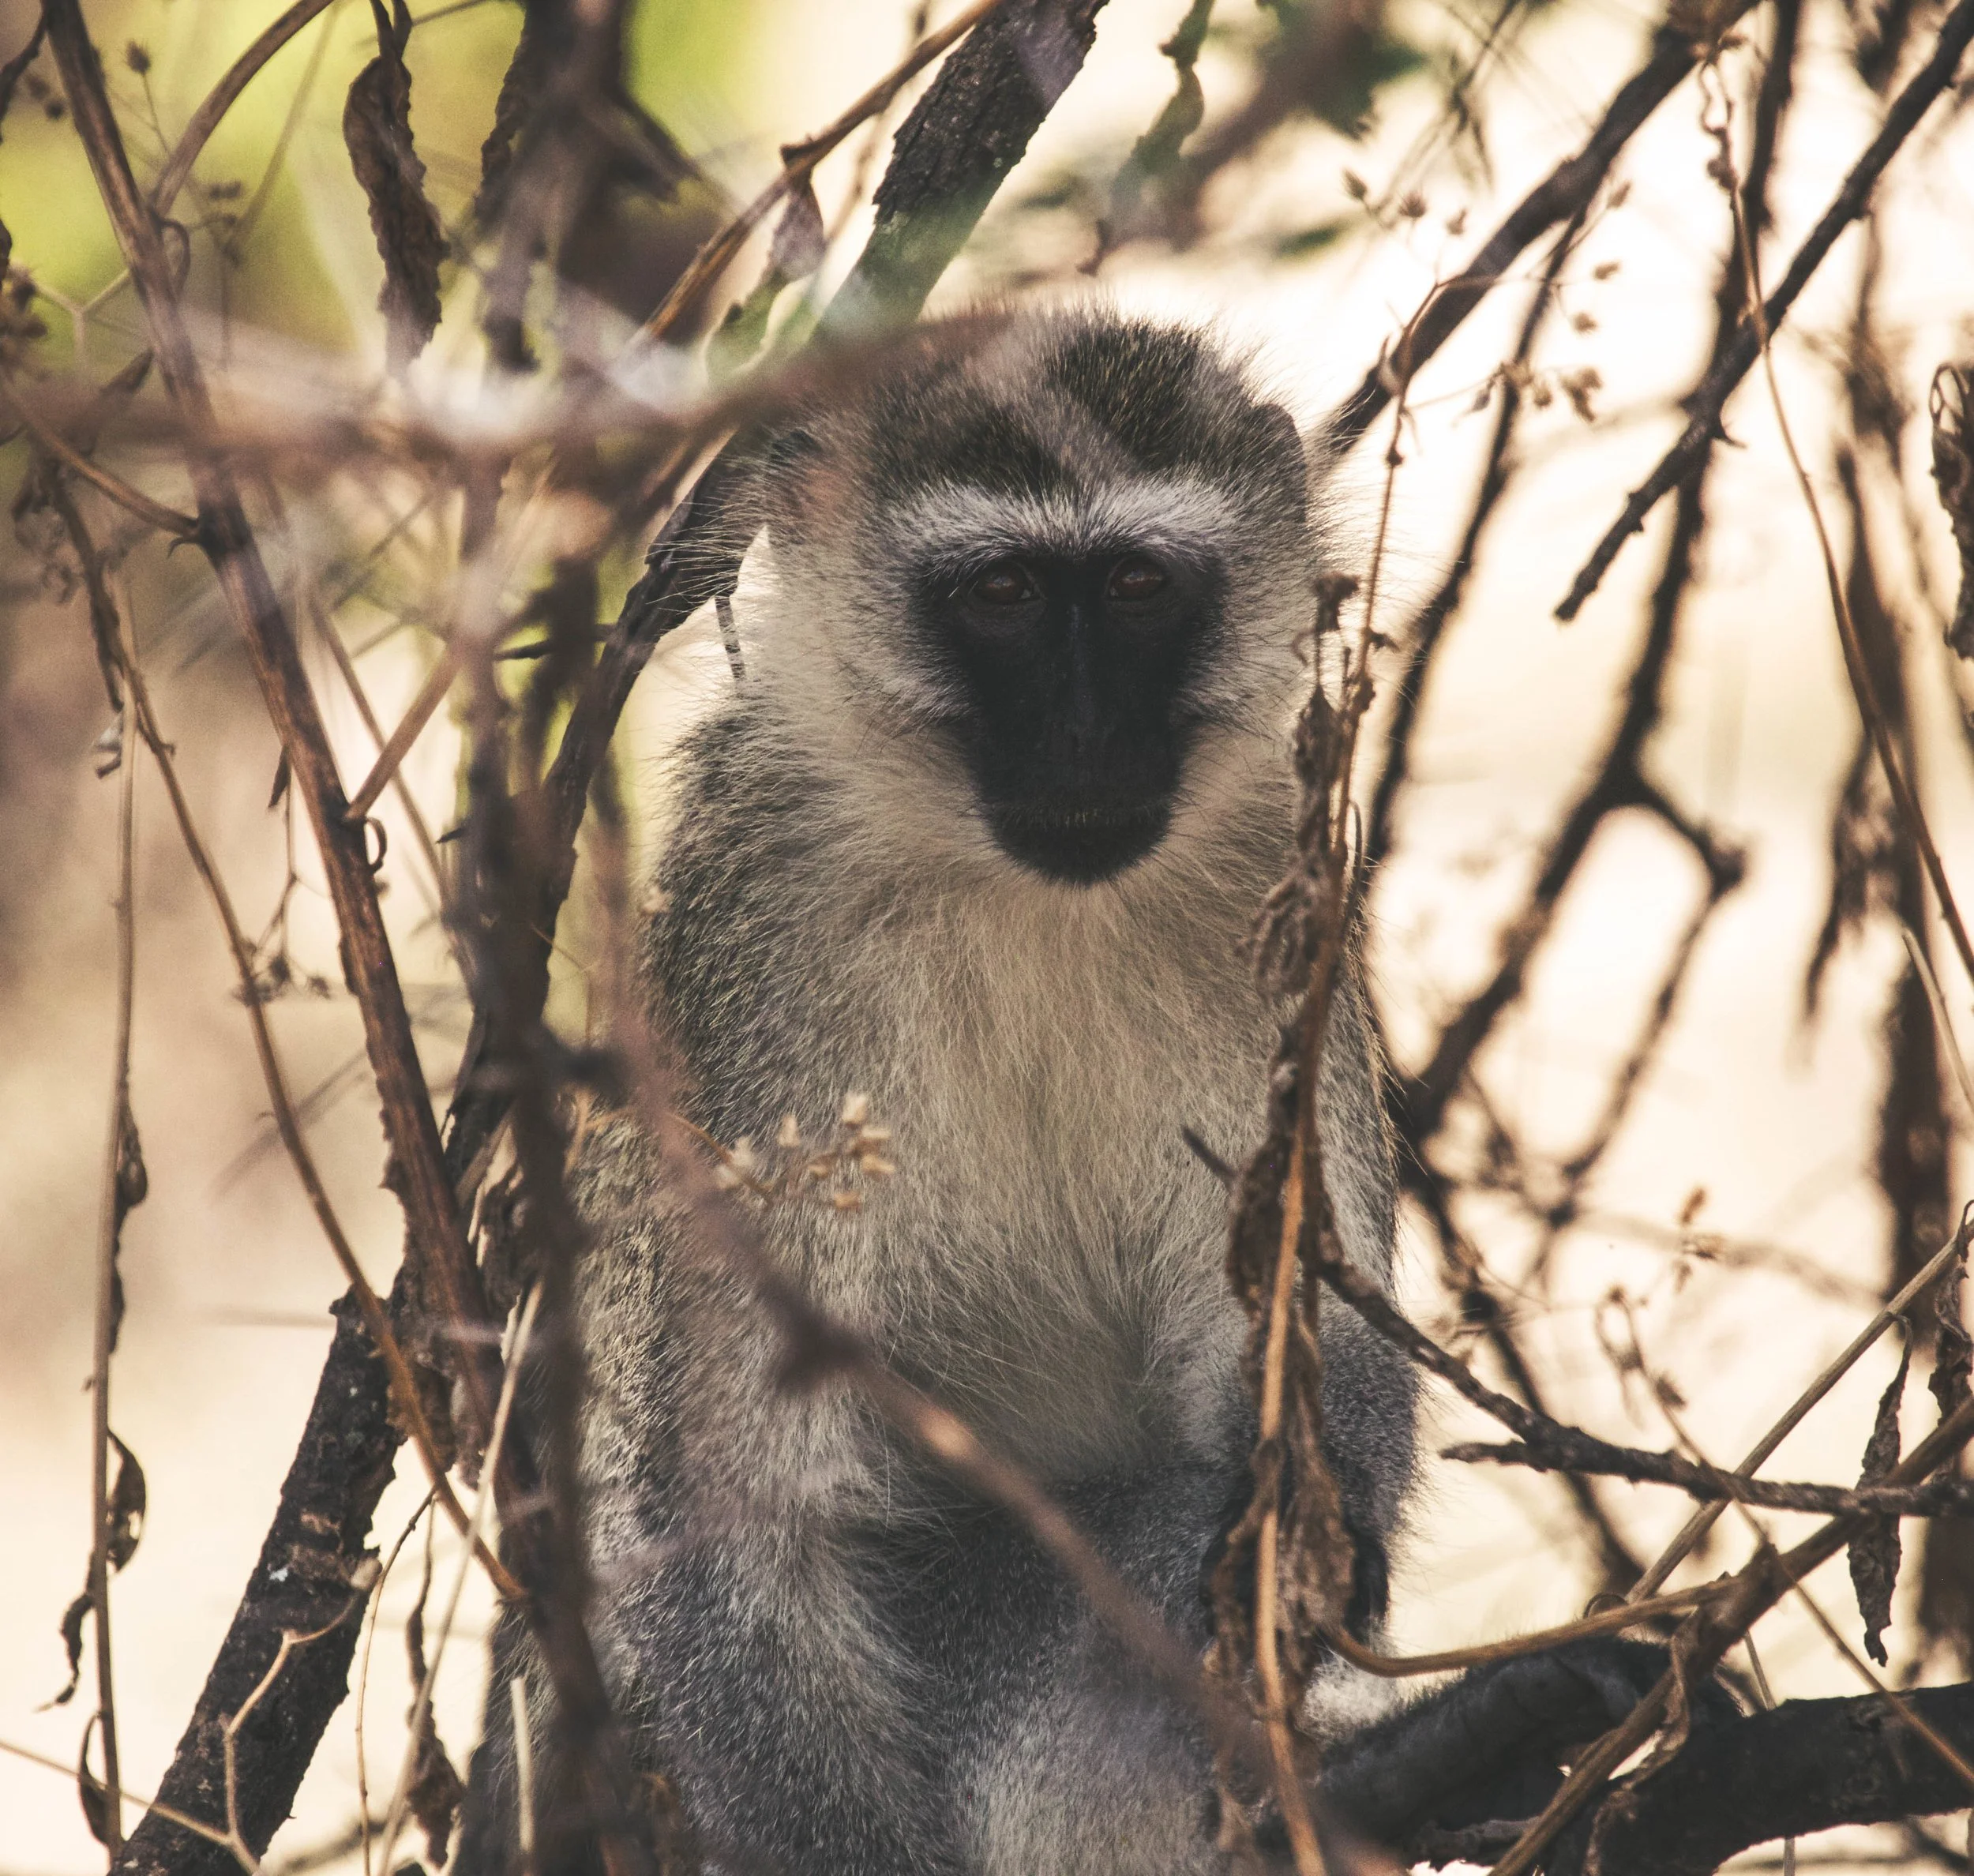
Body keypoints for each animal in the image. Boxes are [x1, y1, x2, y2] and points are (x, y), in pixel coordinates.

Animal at [456, 306, 1677, 1875]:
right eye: (1005, 593)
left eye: (1141, 586)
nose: (1091, 737)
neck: (1028, 894)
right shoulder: (754, 950)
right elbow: (732, 1515)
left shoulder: (1280, 908)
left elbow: (1303, 1337)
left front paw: (1306, 1567)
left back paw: (1402, 1768)